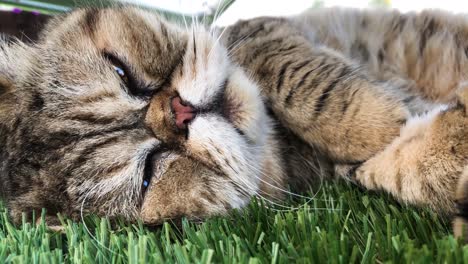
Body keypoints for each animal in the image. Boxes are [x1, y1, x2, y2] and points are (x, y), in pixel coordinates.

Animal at [0, 6, 466, 238]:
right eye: (148, 174)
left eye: (122, 72)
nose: (181, 112)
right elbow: (403, 166)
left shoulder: (263, 30)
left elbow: (285, 70)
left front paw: (369, 121)